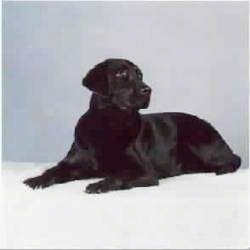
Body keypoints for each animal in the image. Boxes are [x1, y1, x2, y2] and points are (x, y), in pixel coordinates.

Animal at [23, 58, 240, 193]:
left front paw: (99, 185)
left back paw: (222, 168)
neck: (109, 123)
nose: (148, 89)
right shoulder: (74, 163)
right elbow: (54, 170)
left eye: (140, 75)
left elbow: (121, 176)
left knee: (234, 159)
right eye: (121, 74)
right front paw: (37, 180)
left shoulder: (145, 172)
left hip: (197, 141)